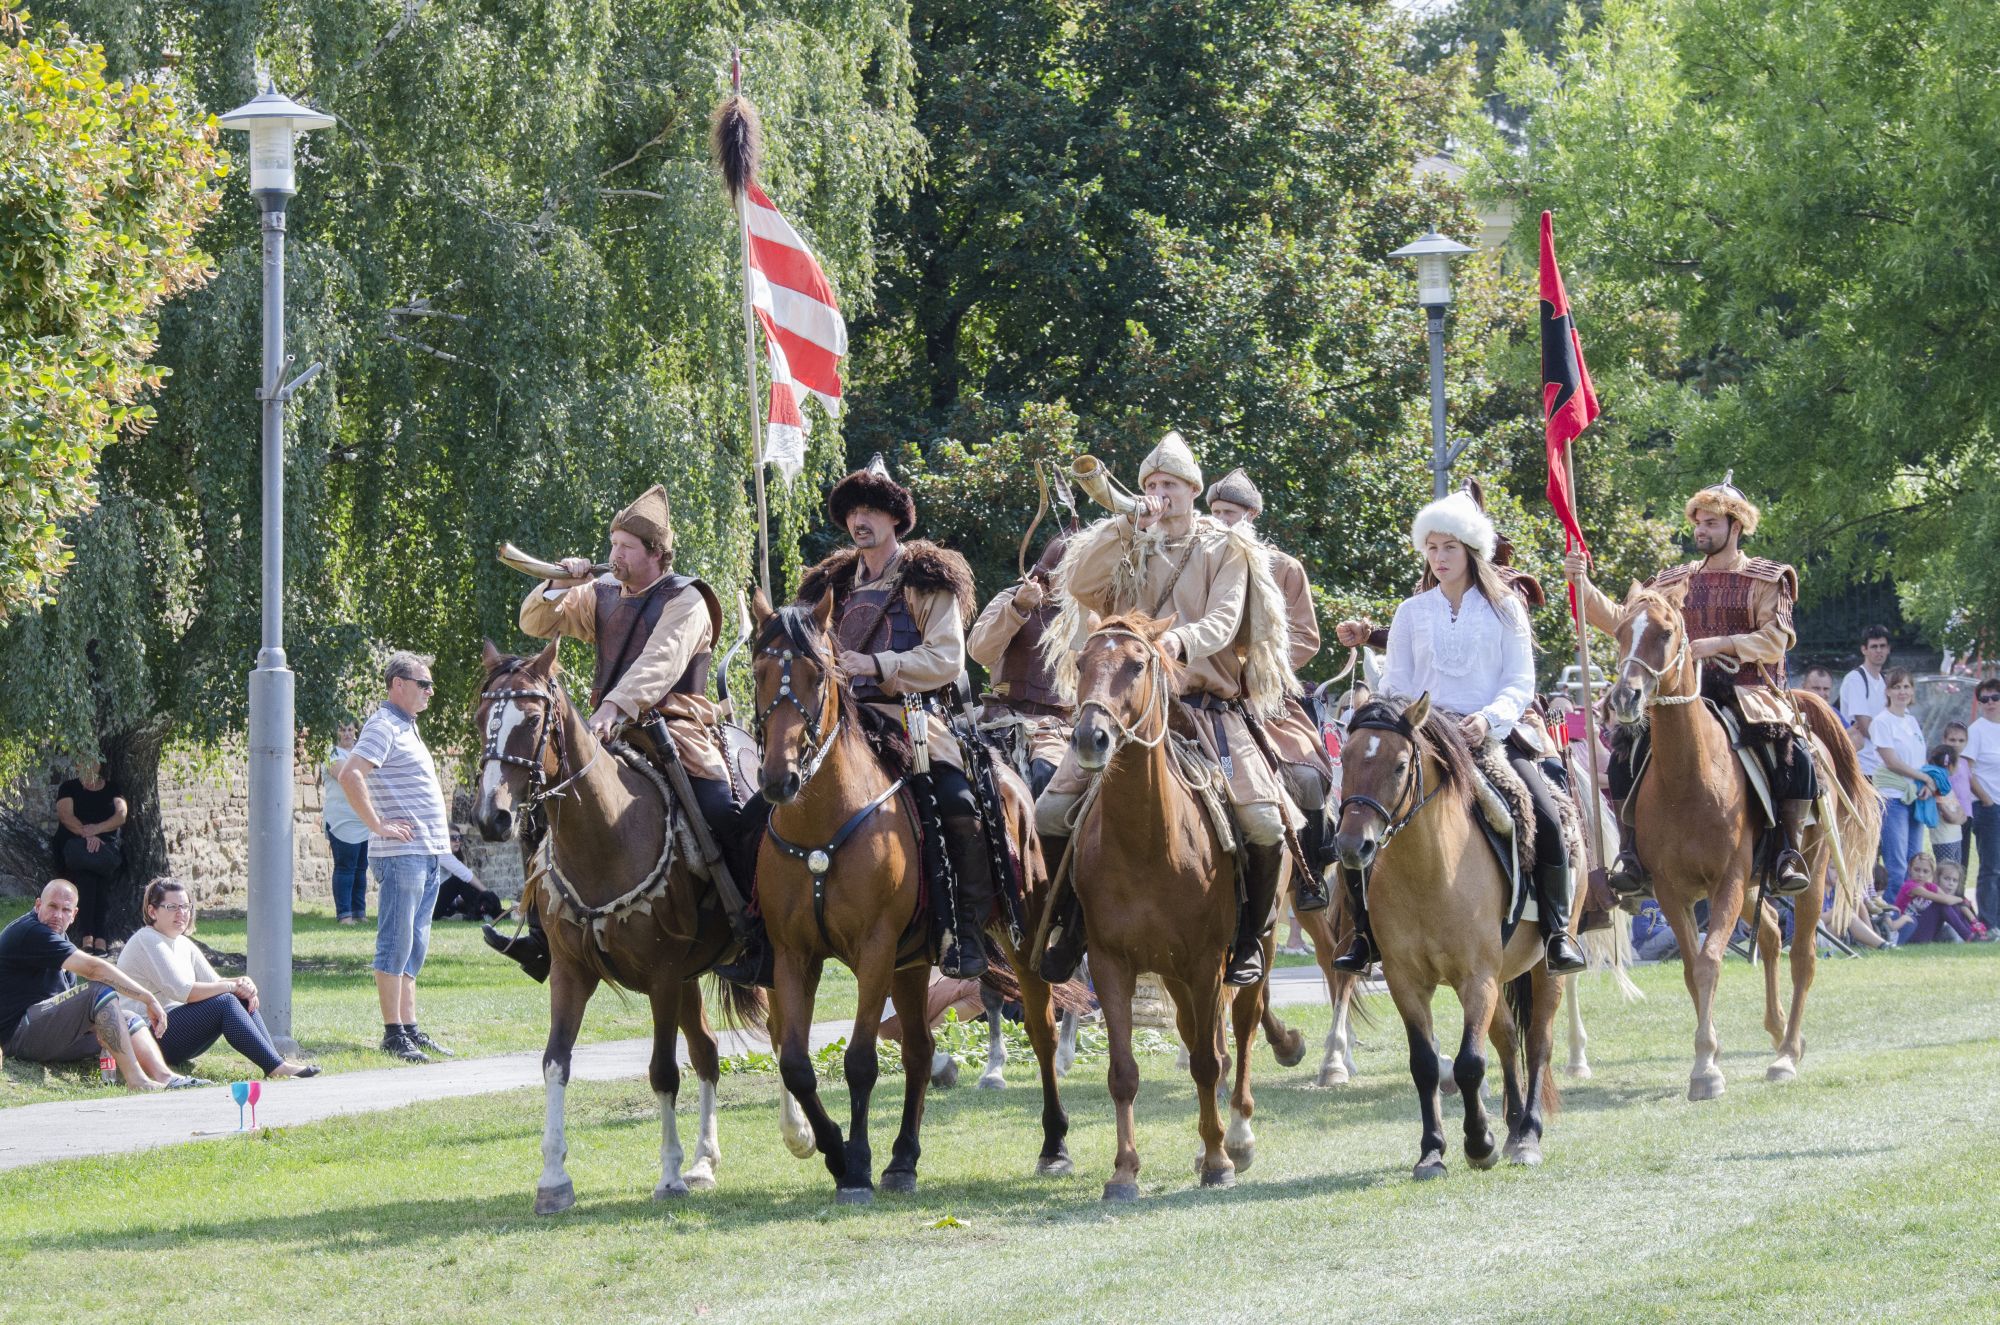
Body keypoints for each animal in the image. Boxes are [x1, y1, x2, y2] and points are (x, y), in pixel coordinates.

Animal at [472, 640, 792, 1216]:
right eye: (482, 718)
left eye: (530, 720)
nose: (493, 817)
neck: (607, 831)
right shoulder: (571, 974)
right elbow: (555, 1063)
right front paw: (553, 1178)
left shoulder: (662, 977)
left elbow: (662, 1071)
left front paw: (667, 1176)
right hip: (691, 978)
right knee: (708, 1052)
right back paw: (704, 1161)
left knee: (779, 1037)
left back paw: (796, 1131)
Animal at [748, 592, 1072, 1200]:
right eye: (757, 672)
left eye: (817, 676)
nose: (780, 780)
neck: (823, 825)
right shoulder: (793, 956)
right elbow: (797, 1064)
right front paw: (834, 1150)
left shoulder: (874, 950)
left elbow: (860, 1060)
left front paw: (855, 1166)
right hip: (913, 960)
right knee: (920, 1050)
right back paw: (902, 1159)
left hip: (1018, 938)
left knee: (1041, 1029)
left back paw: (1054, 1144)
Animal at [1064, 616, 1264, 1200]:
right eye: (1080, 663)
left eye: (1136, 664)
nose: (1090, 737)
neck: (1147, 842)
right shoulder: (1111, 963)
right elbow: (1123, 1071)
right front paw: (1124, 1170)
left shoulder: (1206, 961)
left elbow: (1206, 1063)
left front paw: (1219, 1161)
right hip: (1174, 978)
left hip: (1249, 955)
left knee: (1240, 1036)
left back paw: (1235, 1138)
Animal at [1336, 696, 1568, 1184]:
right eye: (1344, 758)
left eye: (1400, 764)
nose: (1351, 846)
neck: (1430, 872)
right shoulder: (1406, 981)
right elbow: (1426, 1065)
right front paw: (1433, 1152)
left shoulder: (1476, 977)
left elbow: (1469, 1063)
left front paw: (1480, 1144)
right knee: (1506, 1038)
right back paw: (1513, 1125)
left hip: (1545, 970)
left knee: (1538, 1042)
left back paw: (1527, 1136)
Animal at [1608, 588, 1872, 1096]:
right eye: (1620, 631)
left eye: (1665, 632)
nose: (1625, 697)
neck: (1689, 778)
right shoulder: (1673, 890)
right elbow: (1692, 968)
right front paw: (1707, 1055)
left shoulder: (1727, 881)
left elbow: (1709, 962)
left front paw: (1706, 1069)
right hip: (1754, 885)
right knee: (1769, 934)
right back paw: (1778, 1029)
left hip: (1808, 875)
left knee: (1803, 957)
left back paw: (1787, 1053)